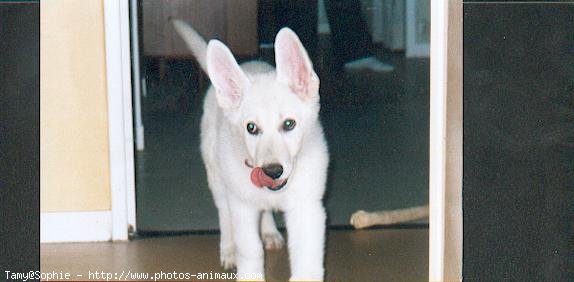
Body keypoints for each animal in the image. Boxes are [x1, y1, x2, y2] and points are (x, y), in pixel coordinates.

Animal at [172, 20, 328, 282]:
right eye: (251, 128)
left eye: (289, 124)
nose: (272, 171)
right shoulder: (242, 206)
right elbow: (250, 248)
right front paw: (248, 272)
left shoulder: (306, 207)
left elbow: (306, 258)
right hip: (218, 177)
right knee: (225, 214)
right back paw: (228, 249)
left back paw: (270, 232)